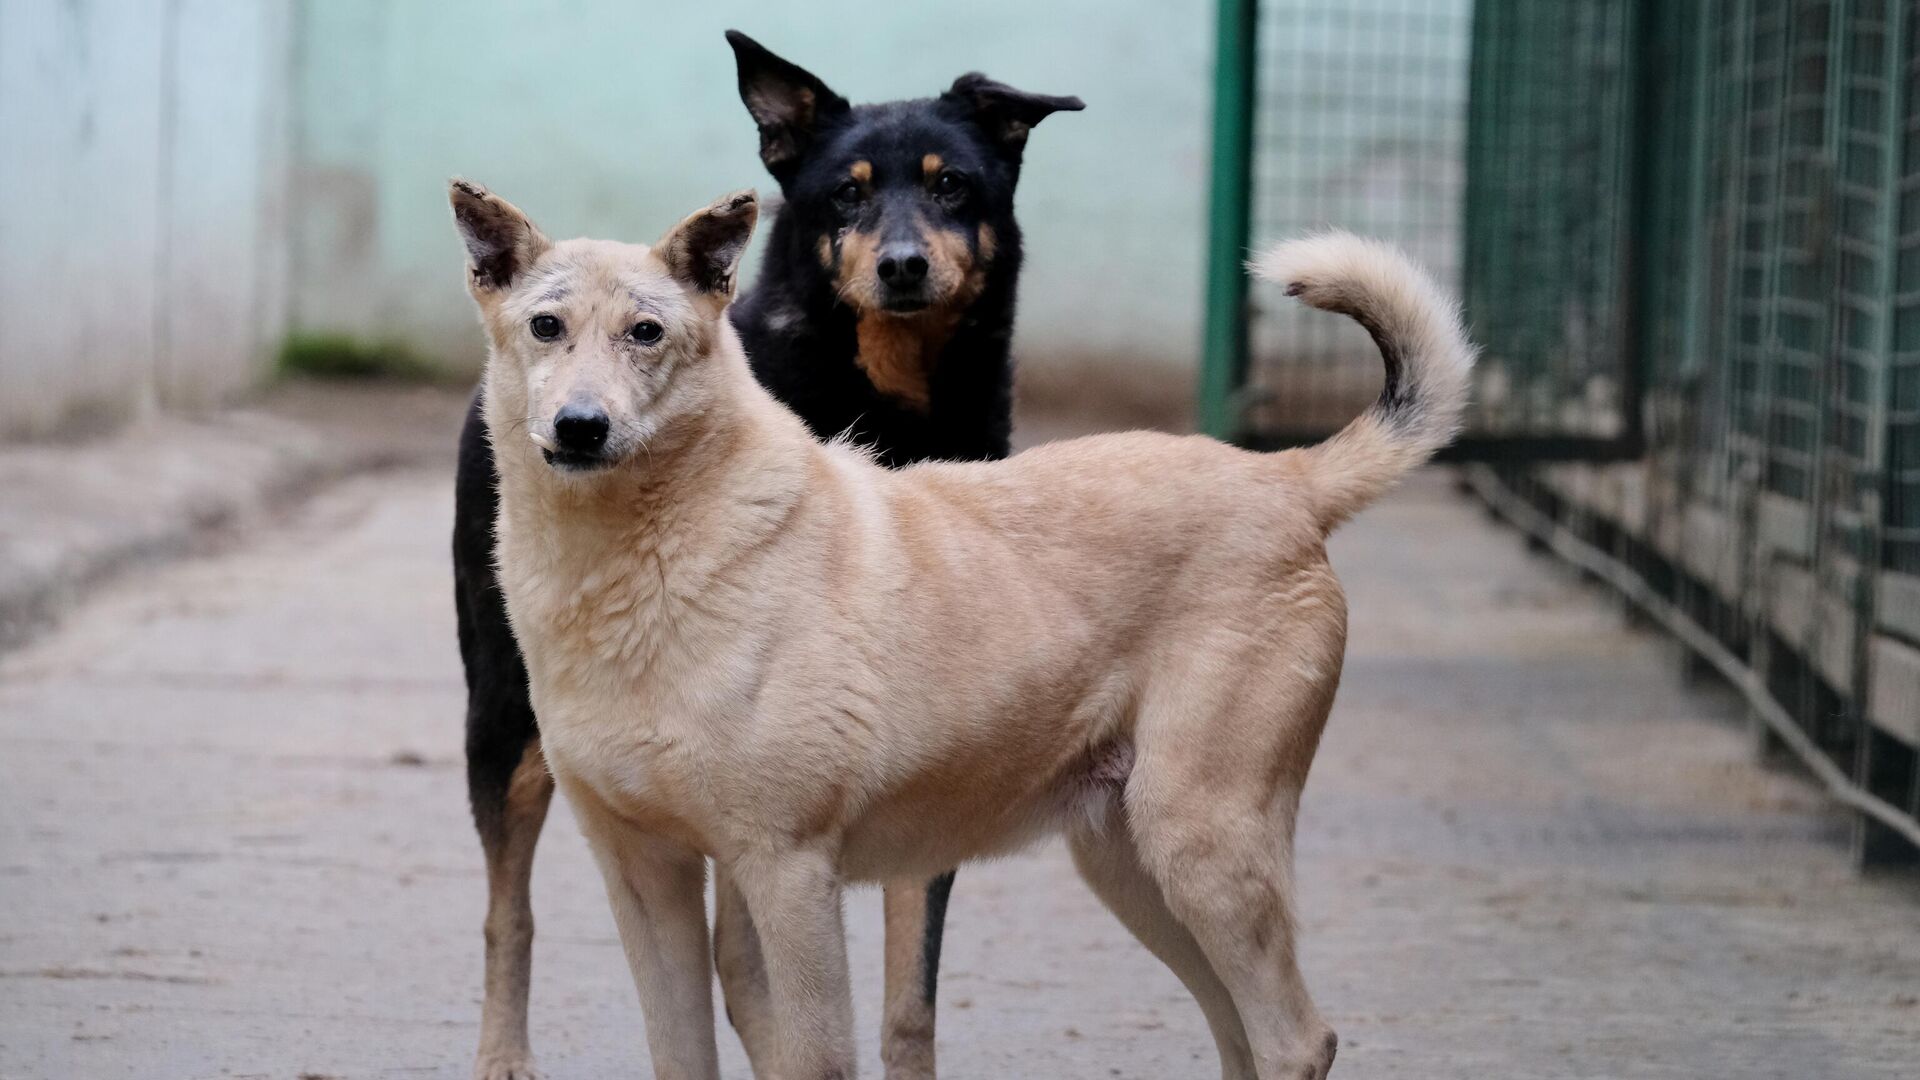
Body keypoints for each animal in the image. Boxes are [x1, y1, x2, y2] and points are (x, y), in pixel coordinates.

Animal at [453, 29, 1082, 1068]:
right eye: (846, 195)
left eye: (954, 186)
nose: (903, 265)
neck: (887, 400)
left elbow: (907, 995)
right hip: (503, 722)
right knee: (510, 913)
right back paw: (504, 1055)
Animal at [456, 178, 1474, 1076]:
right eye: (546, 327)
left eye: (648, 333)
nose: (580, 427)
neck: (645, 561)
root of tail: (1285, 477)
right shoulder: (647, 875)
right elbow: (679, 1055)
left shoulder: (789, 872)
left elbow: (818, 1057)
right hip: (1134, 868)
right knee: (1242, 1039)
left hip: (1203, 845)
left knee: (1298, 1041)